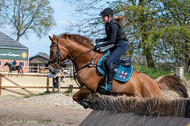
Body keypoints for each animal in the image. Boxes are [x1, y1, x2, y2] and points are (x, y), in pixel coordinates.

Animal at [47, 33, 189, 108]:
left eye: (52, 51)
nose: (51, 68)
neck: (87, 60)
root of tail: (155, 83)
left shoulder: (88, 87)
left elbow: (75, 97)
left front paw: (88, 104)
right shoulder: (86, 88)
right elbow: (76, 98)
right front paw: (89, 103)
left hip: (151, 98)